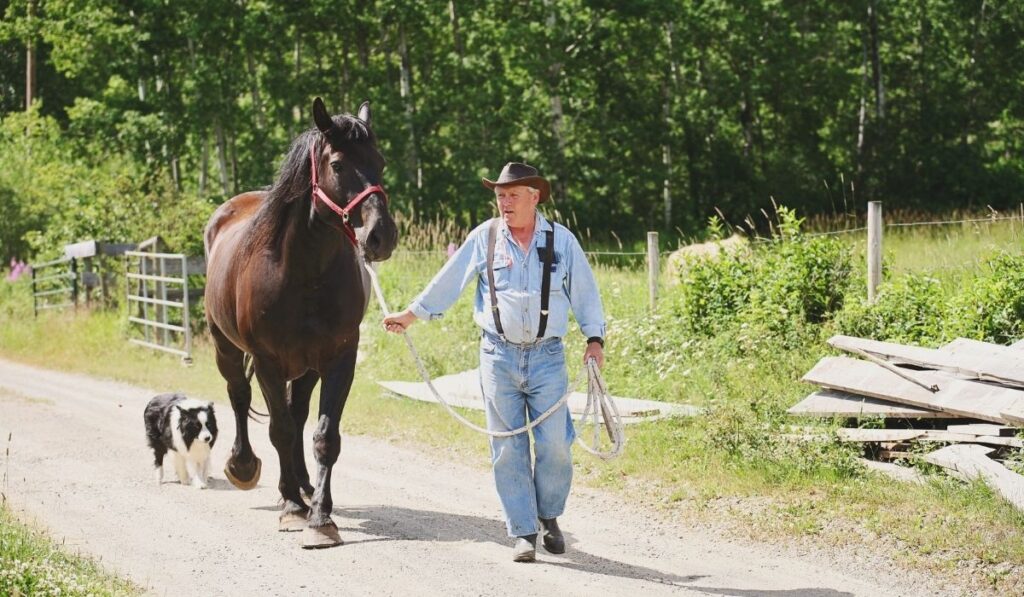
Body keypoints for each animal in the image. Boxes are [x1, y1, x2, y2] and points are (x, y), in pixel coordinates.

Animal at [201, 98, 397, 552]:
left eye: (379, 161)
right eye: (338, 164)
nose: (380, 235)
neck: (303, 272)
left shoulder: (340, 359)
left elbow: (324, 436)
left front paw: (320, 518)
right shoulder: (267, 361)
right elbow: (280, 431)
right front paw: (291, 509)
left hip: (306, 367)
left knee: (299, 412)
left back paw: (304, 487)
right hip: (226, 348)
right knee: (240, 398)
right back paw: (246, 467)